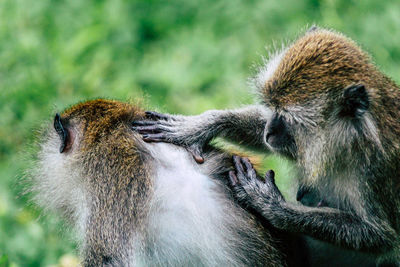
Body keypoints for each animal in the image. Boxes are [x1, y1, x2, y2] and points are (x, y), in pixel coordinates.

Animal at [134, 27, 400, 266]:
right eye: (273, 108)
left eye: (287, 118)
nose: (269, 131)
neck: (350, 141)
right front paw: (200, 126)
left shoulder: (376, 171)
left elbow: (381, 236)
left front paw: (273, 207)